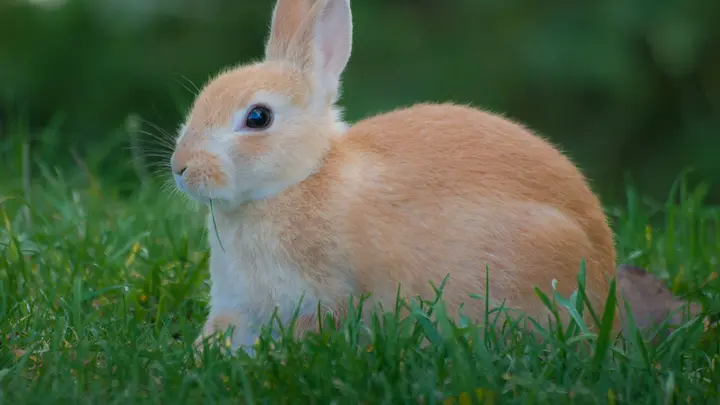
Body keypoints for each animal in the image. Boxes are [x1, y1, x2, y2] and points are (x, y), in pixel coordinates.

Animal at [170, 0, 617, 354]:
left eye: (258, 118)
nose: (181, 167)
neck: (301, 178)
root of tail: (604, 270)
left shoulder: (322, 297)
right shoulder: (238, 304)